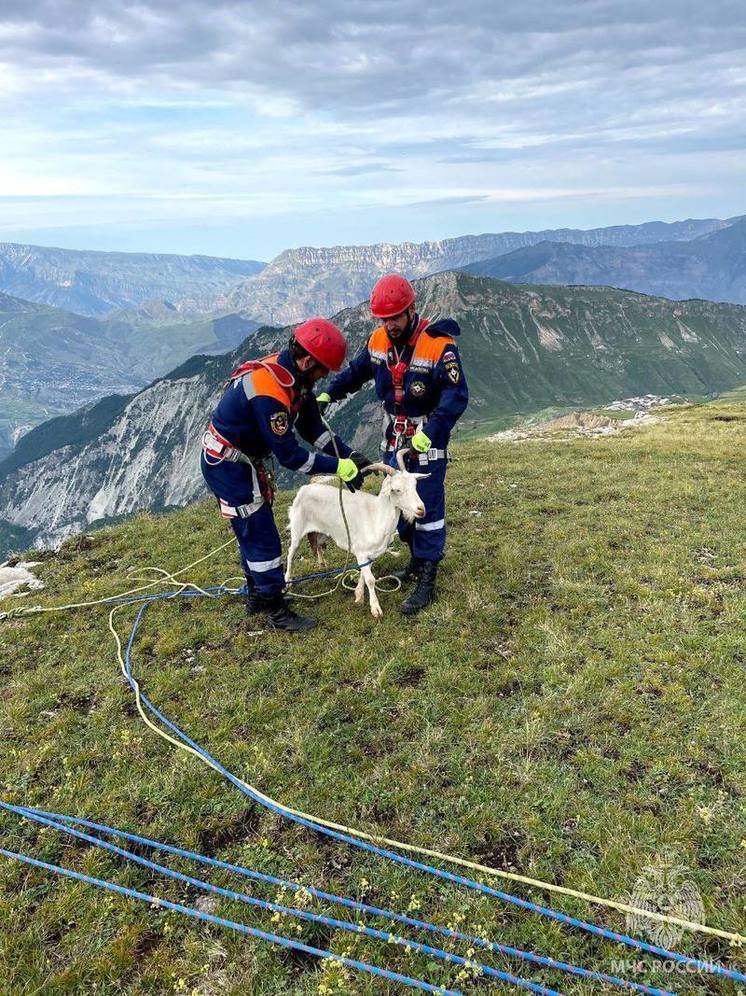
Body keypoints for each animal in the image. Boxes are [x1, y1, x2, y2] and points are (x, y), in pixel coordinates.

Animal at [284, 450, 424, 616]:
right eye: (397, 489)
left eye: (415, 485)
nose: (421, 509)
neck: (375, 515)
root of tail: (304, 489)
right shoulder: (361, 551)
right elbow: (371, 579)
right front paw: (375, 608)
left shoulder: (369, 554)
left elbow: (364, 573)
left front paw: (358, 594)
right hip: (297, 529)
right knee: (291, 554)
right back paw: (288, 582)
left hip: (323, 532)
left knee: (317, 544)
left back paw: (322, 563)